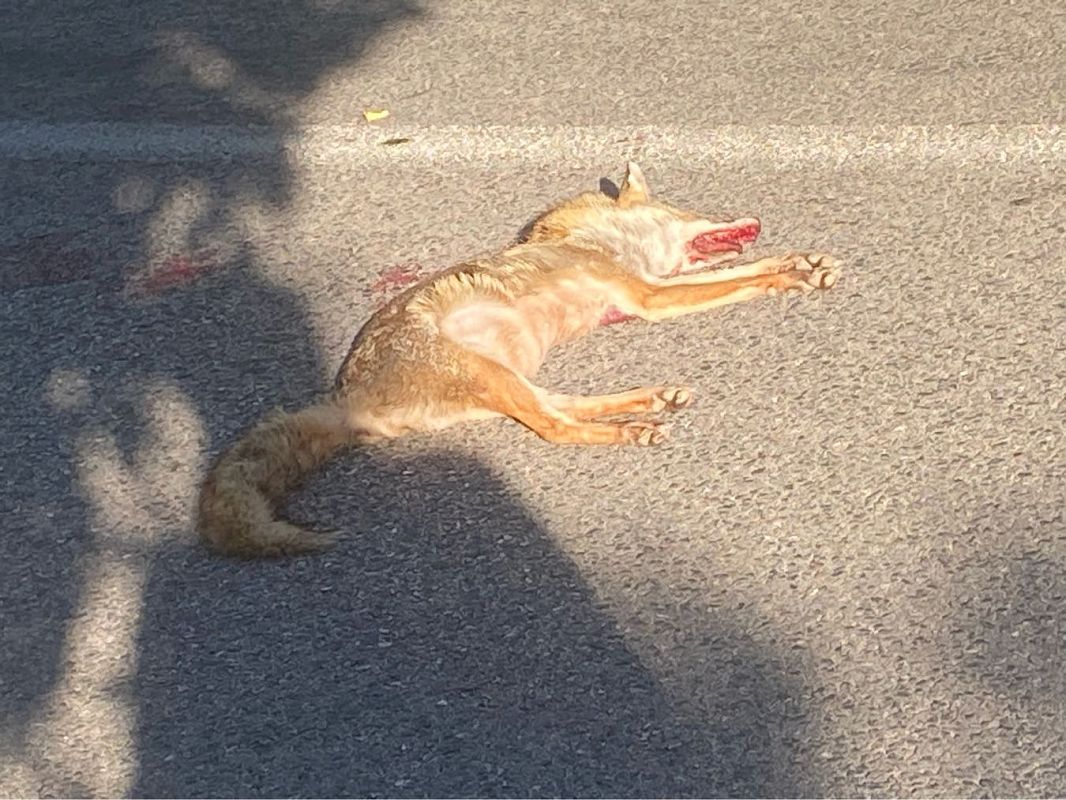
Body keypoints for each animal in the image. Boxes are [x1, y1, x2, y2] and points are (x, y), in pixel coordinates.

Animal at [198, 162, 841, 558]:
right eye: (688, 209)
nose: (755, 219)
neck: (595, 242)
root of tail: (343, 396)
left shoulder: (642, 293)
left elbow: (743, 272)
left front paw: (800, 263)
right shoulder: (648, 298)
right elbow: (742, 282)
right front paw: (791, 276)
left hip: (512, 380)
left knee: (563, 407)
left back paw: (649, 401)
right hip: (493, 376)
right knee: (557, 428)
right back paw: (633, 429)